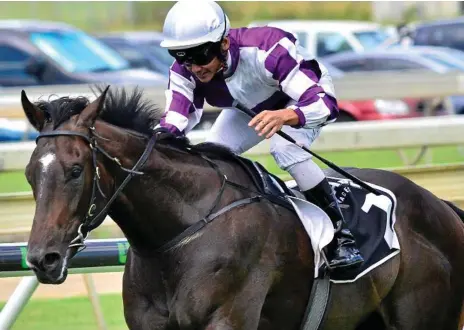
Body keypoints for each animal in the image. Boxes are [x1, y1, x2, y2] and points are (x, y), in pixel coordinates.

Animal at [21, 87, 464, 330]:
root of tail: (442, 207)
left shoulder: (227, 318)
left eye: (76, 170)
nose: (43, 258)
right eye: (29, 174)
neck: (180, 234)